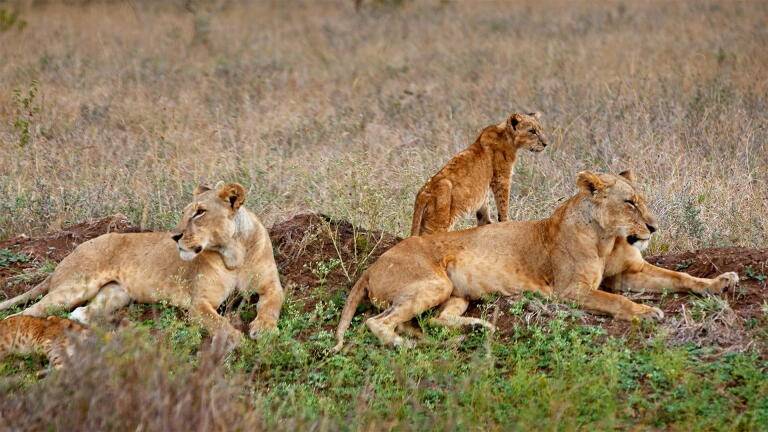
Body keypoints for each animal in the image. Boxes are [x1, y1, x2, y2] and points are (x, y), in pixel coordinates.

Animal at [0, 183, 285, 341]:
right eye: (185, 212)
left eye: (200, 212)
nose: (175, 236)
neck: (233, 254)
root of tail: (73, 251)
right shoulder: (199, 303)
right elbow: (217, 321)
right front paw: (234, 337)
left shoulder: (271, 285)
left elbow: (271, 304)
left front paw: (264, 328)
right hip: (74, 286)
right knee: (23, 314)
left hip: (116, 294)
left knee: (81, 312)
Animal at [335, 171, 739, 350]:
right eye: (630, 203)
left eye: (641, 201)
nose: (654, 228)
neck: (607, 238)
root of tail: (371, 266)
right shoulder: (571, 290)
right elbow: (616, 301)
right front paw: (645, 312)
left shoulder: (629, 272)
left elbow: (680, 278)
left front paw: (721, 282)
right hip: (434, 282)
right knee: (376, 321)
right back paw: (402, 345)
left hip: (454, 292)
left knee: (433, 320)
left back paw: (475, 329)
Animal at [410, 112, 548, 236]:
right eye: (532, 131)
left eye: (540, 129)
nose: (546, 144)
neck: (506, 135)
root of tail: (423, 194)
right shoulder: (501, 177)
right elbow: (503, 204)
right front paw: (505, 222)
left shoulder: (484, 191)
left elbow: (484, 211)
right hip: (437, 223)